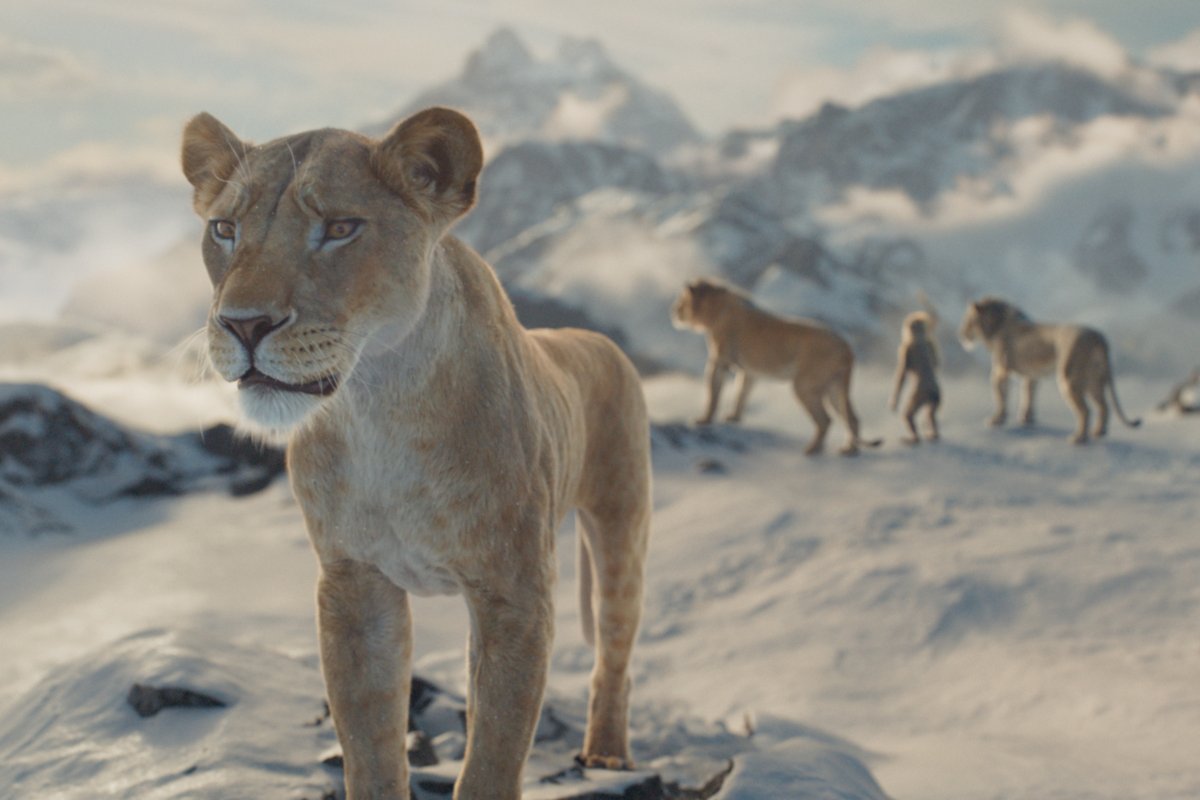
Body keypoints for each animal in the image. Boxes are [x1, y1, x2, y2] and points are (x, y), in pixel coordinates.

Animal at [182, 107, 652, 799]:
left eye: (340, 228)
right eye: (224, 229)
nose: (243, 324)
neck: (380, 406)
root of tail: (597, 340)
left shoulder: (514, 592)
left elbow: (491, 758)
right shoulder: (352, 584)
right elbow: (370, 747)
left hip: (622, 529)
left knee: (614, 649)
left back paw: (608, 755)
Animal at [670, 278, 880, 455]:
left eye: (681, 301)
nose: (673, 312)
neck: (715, 310)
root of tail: (847, 348)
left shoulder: (718, 362)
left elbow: (713, 394)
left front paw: (704, 420)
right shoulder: (749, 372)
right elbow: (741, 394)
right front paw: (734, 418)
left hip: (805, 385)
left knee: (825, 420)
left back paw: (812, 450)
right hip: (834, 387)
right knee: (852, 418)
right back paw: (848, 450)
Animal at [889, 307, 941, 444]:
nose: (904, 328)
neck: (919, 339)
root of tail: (931, 392)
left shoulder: (906, 348)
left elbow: (902, 373)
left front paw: (894, 402)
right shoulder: (929, 343)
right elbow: (936, 364)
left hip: (919, 395)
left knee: (908, 414)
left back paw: (914, 438)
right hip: (936, 397)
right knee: (931, 414)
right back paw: (934, 434)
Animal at [959, 296, 1142, 444]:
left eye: (968, 320)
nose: (961, 334)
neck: (995, 325)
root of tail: (1098, 336)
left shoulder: (1000, 371)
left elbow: (1000, 397)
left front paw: (996, 420)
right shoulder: (1031, 376)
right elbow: (1028, 395)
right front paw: (1027, 419)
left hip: (1069, 378)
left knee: (1085, 410)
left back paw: (1079, 438)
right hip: (1094, 379)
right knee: (1103, 406)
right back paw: (1098, 432)